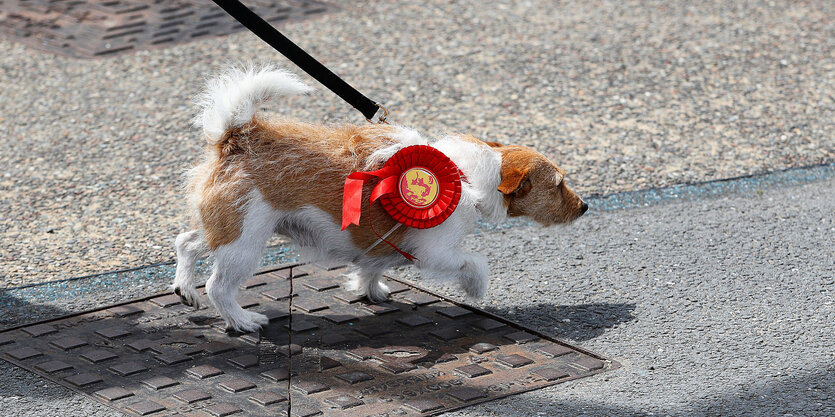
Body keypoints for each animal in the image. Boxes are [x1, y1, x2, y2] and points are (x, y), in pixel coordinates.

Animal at [171, 66, 588, 332]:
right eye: (559, 184)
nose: (585, 207)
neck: (466, 175)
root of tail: (237, 136)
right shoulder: (437, 252)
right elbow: (473, 262)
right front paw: (476, 288)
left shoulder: (381, 244)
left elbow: (372, 266)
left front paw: (370, 290)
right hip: (244, 241)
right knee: (219, 286)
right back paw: (242, 321)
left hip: (220, 227)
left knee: (186, 242)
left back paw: (185, 288)